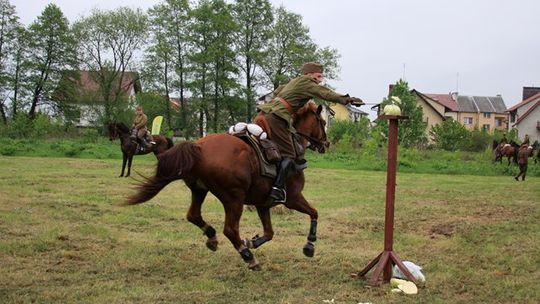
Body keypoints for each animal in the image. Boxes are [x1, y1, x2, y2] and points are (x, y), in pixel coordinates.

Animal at [125, 102, 330, 270]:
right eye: (323, 122)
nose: (326, 143)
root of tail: (198, 146)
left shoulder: (262, 204)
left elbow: (269, 232)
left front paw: (252, 241)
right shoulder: (293, 198)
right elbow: (314, 213)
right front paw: (310, 245)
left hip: (199, 190)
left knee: (194, 215)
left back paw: (213, 237)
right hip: (234, 198)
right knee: (230, 229)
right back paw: (248, 257)